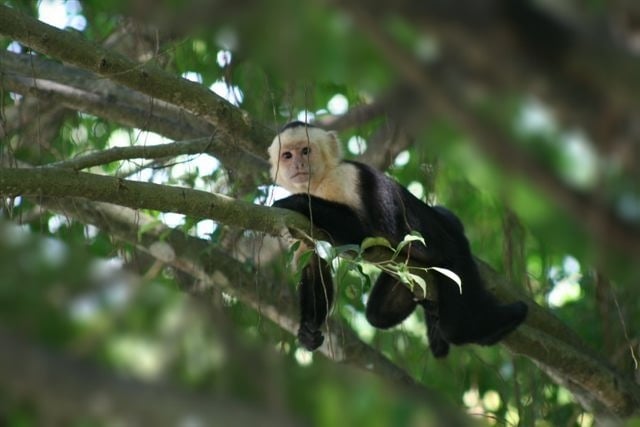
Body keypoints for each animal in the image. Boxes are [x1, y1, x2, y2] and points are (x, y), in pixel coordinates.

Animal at [268, 121, 528, 357]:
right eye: (287, 155)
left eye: (306, 151)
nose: (298, 164)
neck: (319, 183)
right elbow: (314, 265)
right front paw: (308, 331)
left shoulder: (345, 178)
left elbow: (363, 232)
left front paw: (292, 202)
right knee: (378, 315)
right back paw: (432, 312)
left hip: (455, 255)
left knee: (457, 325)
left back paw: (493, 323)